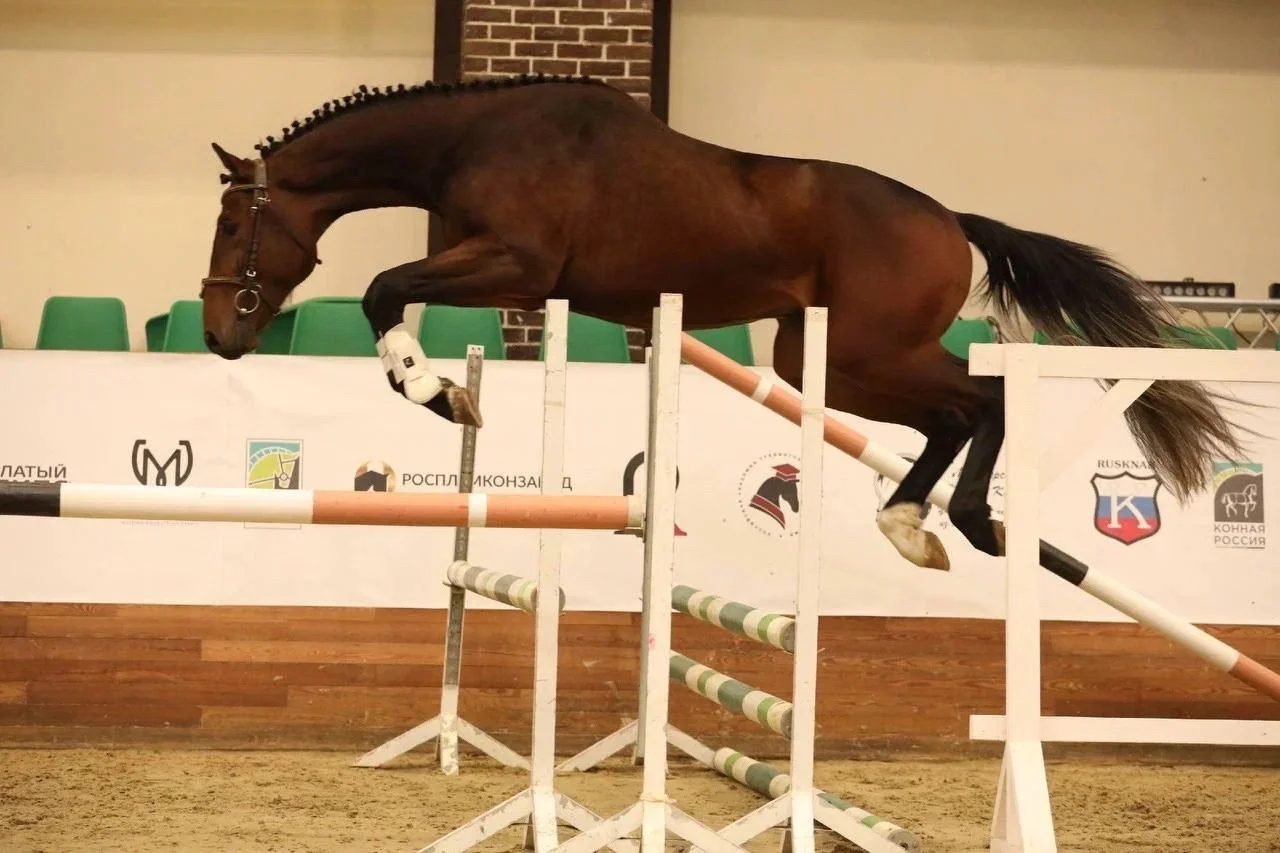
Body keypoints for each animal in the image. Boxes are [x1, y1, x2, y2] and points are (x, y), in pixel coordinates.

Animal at [199, 73, 1247, 572]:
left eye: (232, 223)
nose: (215, 334)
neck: (475, 138)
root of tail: (951, 219)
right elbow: (391, 293)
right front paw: (442, 388)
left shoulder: (516, 265)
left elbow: (382, 290)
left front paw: (441, 392)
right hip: (816, 357)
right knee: (950, 415)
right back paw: (910, 522)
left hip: (866, 349)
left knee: (978, 400)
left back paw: (958, 522)